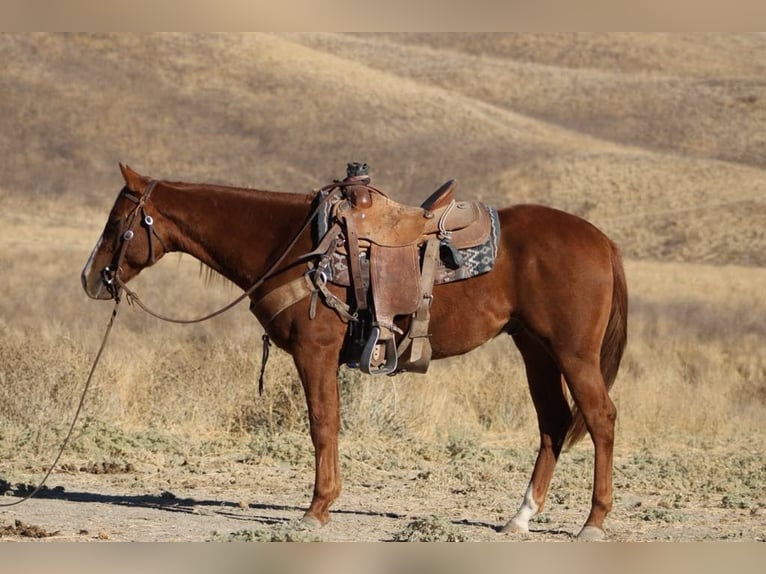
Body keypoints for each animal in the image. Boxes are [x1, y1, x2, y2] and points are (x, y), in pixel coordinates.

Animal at [81, 163, 627, 540]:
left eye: (117, 222)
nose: (91, 278)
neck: (293, 246)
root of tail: (603, 242)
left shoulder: (314, 354)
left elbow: (322, 425)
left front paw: (317, 508)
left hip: (573, 354)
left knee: (600, 418)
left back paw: (593, 522)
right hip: (535, 350)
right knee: (553, 422)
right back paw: (521, 517)